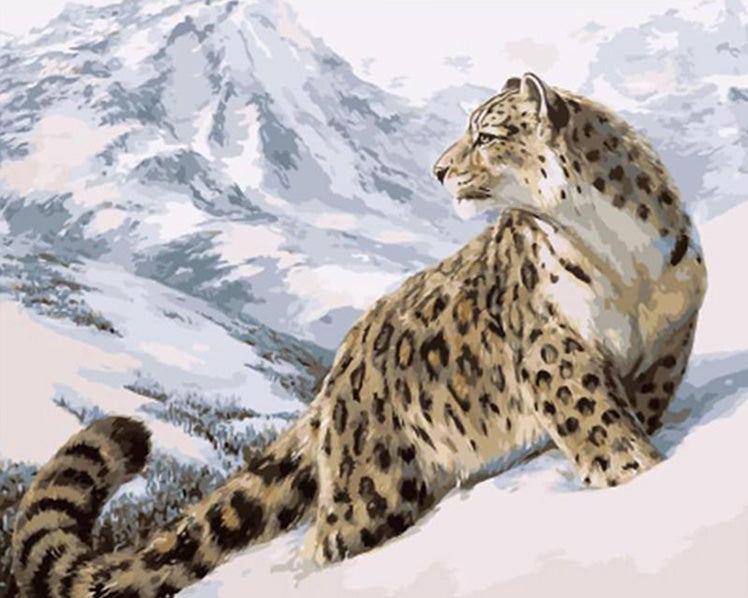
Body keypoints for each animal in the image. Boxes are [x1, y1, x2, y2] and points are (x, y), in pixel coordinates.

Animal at [12, 73, 706, 597]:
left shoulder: (671, 335)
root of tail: (337, 373)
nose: (438, 170)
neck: (617, 254)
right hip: (375, 486)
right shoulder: (553, 349)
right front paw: (634, 476)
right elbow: (596, 421)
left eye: (486, 134)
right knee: (329, 540)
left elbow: (635, 404)